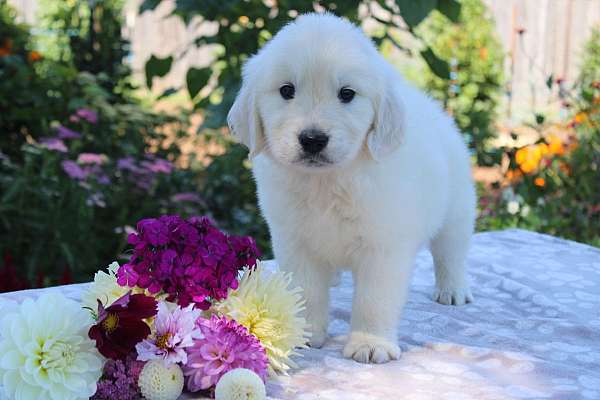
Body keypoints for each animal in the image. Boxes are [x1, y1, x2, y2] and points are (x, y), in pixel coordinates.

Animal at [227, 12, 476, 364]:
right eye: (287, 90)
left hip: (456, 210)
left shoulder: (383, 245)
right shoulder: (295, 241)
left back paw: (452, 290)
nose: (313, 139)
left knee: (450, 253)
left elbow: (374, 299)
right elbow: (305, 291)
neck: (328, 181)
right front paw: (304, 333)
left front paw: (371, 343)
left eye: (347, 94)